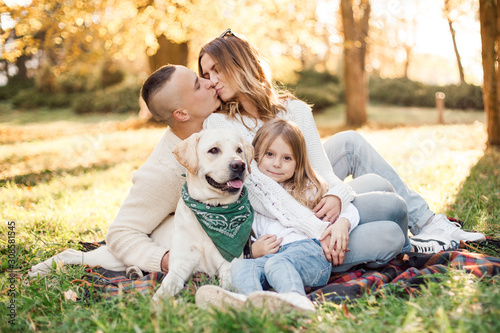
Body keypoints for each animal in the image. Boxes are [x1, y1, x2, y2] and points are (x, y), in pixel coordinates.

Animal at [152, 128, 254, 300]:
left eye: (239, 150)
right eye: (213, 150)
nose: (240, 165)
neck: (211, 208)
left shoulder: (228, 266)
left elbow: (226, 288)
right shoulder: (179, 267)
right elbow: (161, 293)